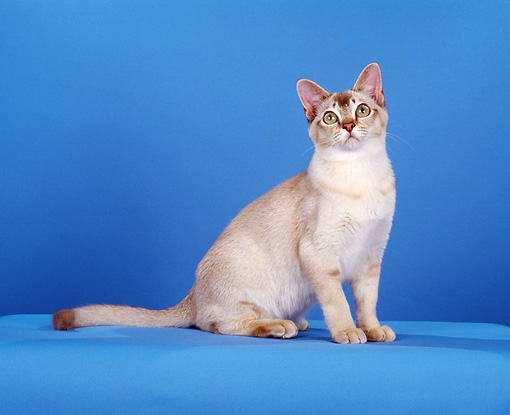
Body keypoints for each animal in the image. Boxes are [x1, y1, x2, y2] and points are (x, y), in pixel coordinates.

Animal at [53, 62, 396, 344]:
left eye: (362, 111)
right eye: (330, 117)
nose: (348, 126)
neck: (360, 176)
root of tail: (192, 295)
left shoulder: (371, 257)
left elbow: (367, 302)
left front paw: (371, 330)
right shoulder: (319, 254)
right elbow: (338, 302)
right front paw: (347, 332)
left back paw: (298, 322)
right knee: (216, 324)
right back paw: (279, 325)